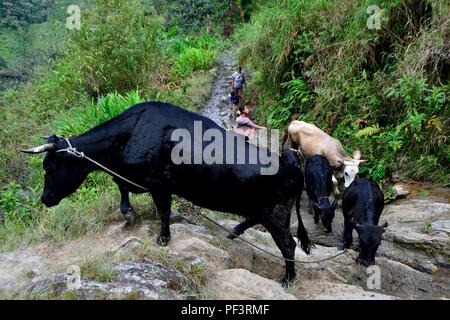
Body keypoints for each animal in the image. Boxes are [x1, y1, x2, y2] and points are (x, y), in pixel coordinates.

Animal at [19, 101, 312, 284]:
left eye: (48, 166)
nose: (45, 199)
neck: (131, 132)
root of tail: (290, 161)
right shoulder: (132, 176)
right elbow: (121, 185)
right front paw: (128, 213)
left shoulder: (160, 184)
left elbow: (162, 211)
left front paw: (162, 238)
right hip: (262, 208)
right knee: (255, 221)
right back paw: (235, 231)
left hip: (276, 212)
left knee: (288, 244)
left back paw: (287, 279)